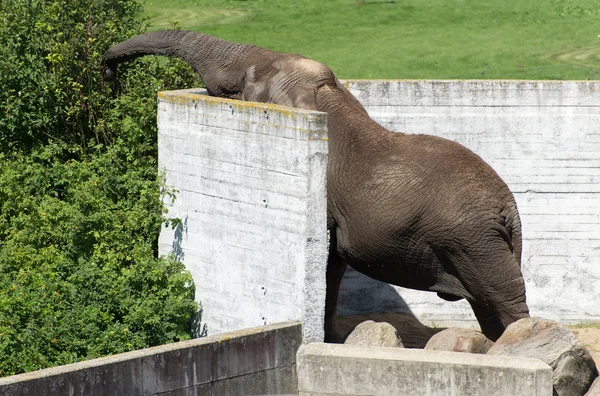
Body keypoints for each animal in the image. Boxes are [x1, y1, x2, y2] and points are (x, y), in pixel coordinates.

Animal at [103, 30, 528, 340]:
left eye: (237, 85)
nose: (108, 74)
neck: (326, 95)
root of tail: (509, 209)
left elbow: (326, 262)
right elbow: (331, 267)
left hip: (473, 243)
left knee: (504, 299)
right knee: (486, 304)